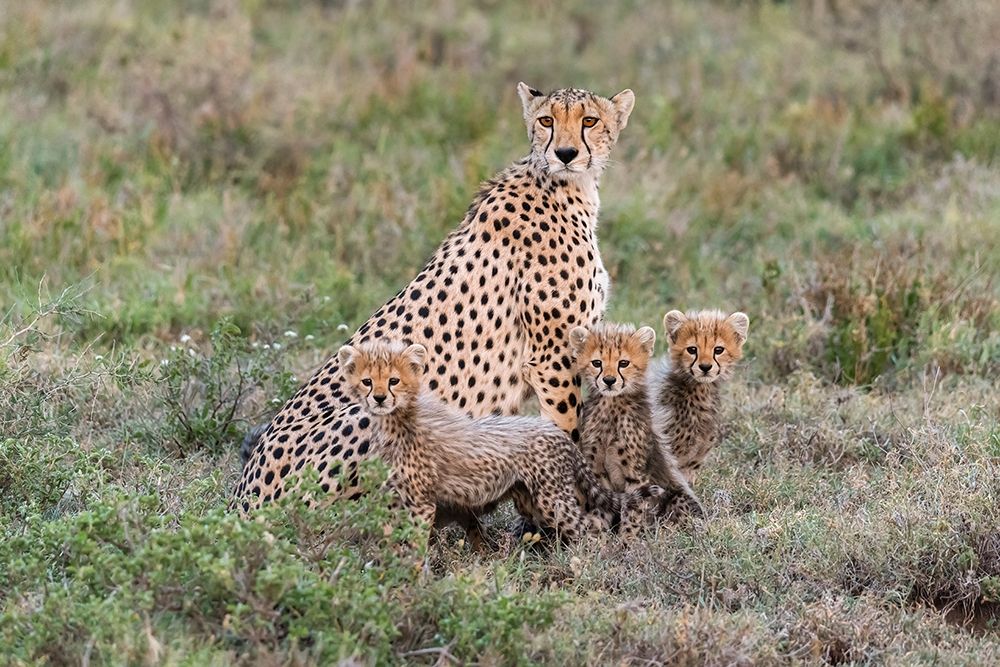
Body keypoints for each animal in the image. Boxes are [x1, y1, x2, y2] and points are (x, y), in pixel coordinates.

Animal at [233, 82, 636, 516]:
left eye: (589, 120)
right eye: (546, 120)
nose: (565, 153)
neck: (563, 186)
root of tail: (240, 499)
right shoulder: (552, 358)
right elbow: (565, 432)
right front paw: (573, 516)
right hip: (370, 413)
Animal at [338, 340, 662, 543]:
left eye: (394, 380)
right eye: (367, 381)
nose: (380, 398)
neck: (396, 420)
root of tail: (556, 433)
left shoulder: (422, 502)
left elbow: (414, 544)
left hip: (552, 499)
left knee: (589, 529)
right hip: (527, 497)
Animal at [570, 322, 703, 530]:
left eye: (623, 363)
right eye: (597, 363)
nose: (609, 381)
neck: (610, 407)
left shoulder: (636, 476)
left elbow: (633, 512)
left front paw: (627, 538)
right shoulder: (597, 472)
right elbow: (603, 506)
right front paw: (597, 536)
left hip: (677, 497)